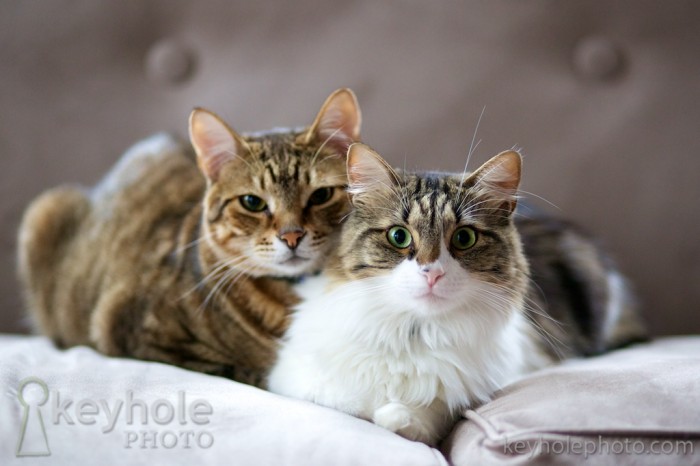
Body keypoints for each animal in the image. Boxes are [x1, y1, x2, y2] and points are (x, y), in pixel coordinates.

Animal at [19, 87, 364, 386]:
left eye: (321, 195)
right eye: (252, 202)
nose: (292, 236)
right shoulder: (130, 329)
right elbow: (246, 369)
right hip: (45, 210)